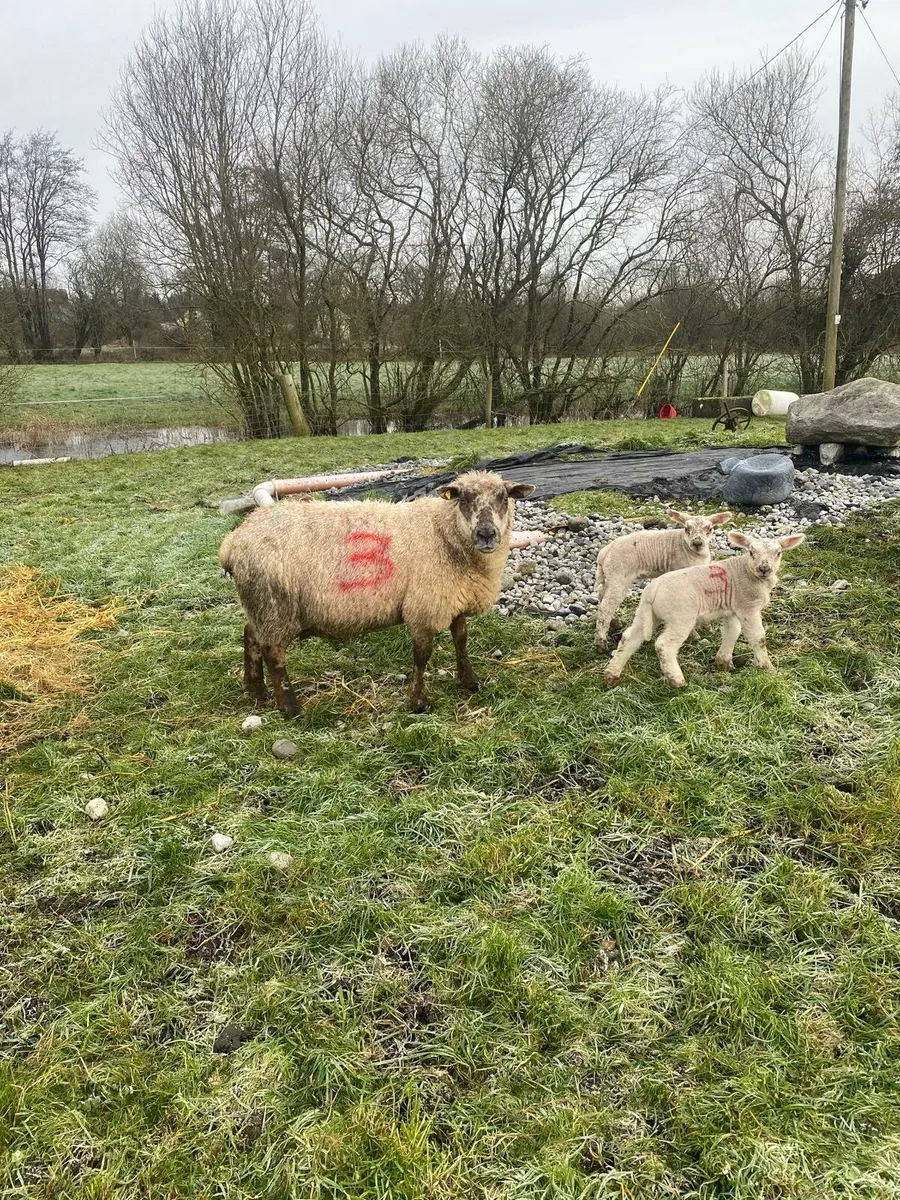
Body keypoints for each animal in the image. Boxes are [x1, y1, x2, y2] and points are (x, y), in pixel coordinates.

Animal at [218, 470, 535, 715]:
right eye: (463, 499)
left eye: (504, 498)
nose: (486, 535)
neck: (443, 534)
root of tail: (234, 541)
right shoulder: (424, 606)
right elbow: (423, 655)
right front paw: (417, 701)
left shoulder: (454, 599)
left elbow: (461, 640)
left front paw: (470, 681)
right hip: (276, 605)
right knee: (273, 653)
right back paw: (290, 707)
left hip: (261, 605)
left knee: (251, 635)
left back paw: (256, 690)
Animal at [593, 509, 732, 650]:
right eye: (686, 528)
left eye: (710, 529)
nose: (697, 543)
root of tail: (604, 553)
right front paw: (694, 634)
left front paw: (707, 627)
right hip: (619, 576)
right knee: (606, 607)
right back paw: (601, 643)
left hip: (609, 577)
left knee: (601, 595)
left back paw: (614, 624)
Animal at [603, 530, 806, 688]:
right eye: (751, 552)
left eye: (778, 553)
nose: (764, 569)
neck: (748, 572)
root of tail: (652, 590)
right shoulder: (748, 607)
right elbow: (758, 638)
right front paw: (767, 668)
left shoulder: (732, 608)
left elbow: (732, 632)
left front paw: (723, 662)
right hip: (681, 617)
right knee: (664, 645)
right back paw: (677, 681)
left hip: (646, 615)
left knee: (630, 638)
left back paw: (612, 674)